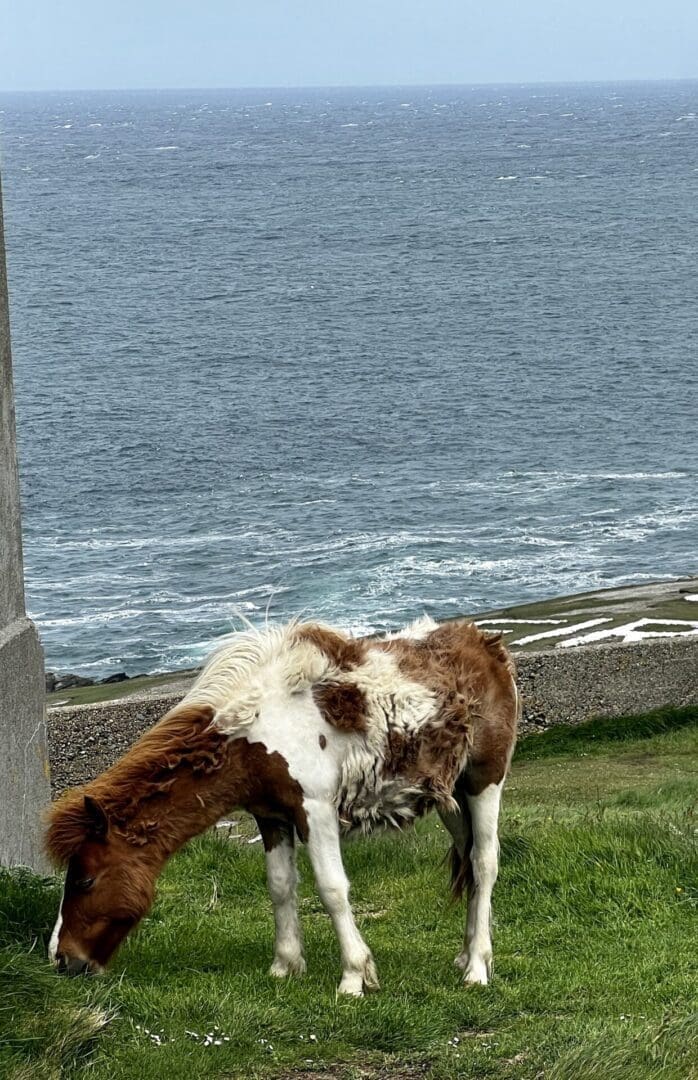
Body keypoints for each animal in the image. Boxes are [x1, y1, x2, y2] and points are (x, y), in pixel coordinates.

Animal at [46, 617, 518, 993]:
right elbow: (280, 886)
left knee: (484, 863)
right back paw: (466, 954)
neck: (257, 732)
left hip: (484, 783)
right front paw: (285, 966)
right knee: (468, 860)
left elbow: (332, 889)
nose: (62, 959)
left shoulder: (315, 809)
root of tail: (487, 643)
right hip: (450, 799)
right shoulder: (271, 815)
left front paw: (354, 977)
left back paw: (477, 968)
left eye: (84, 880)